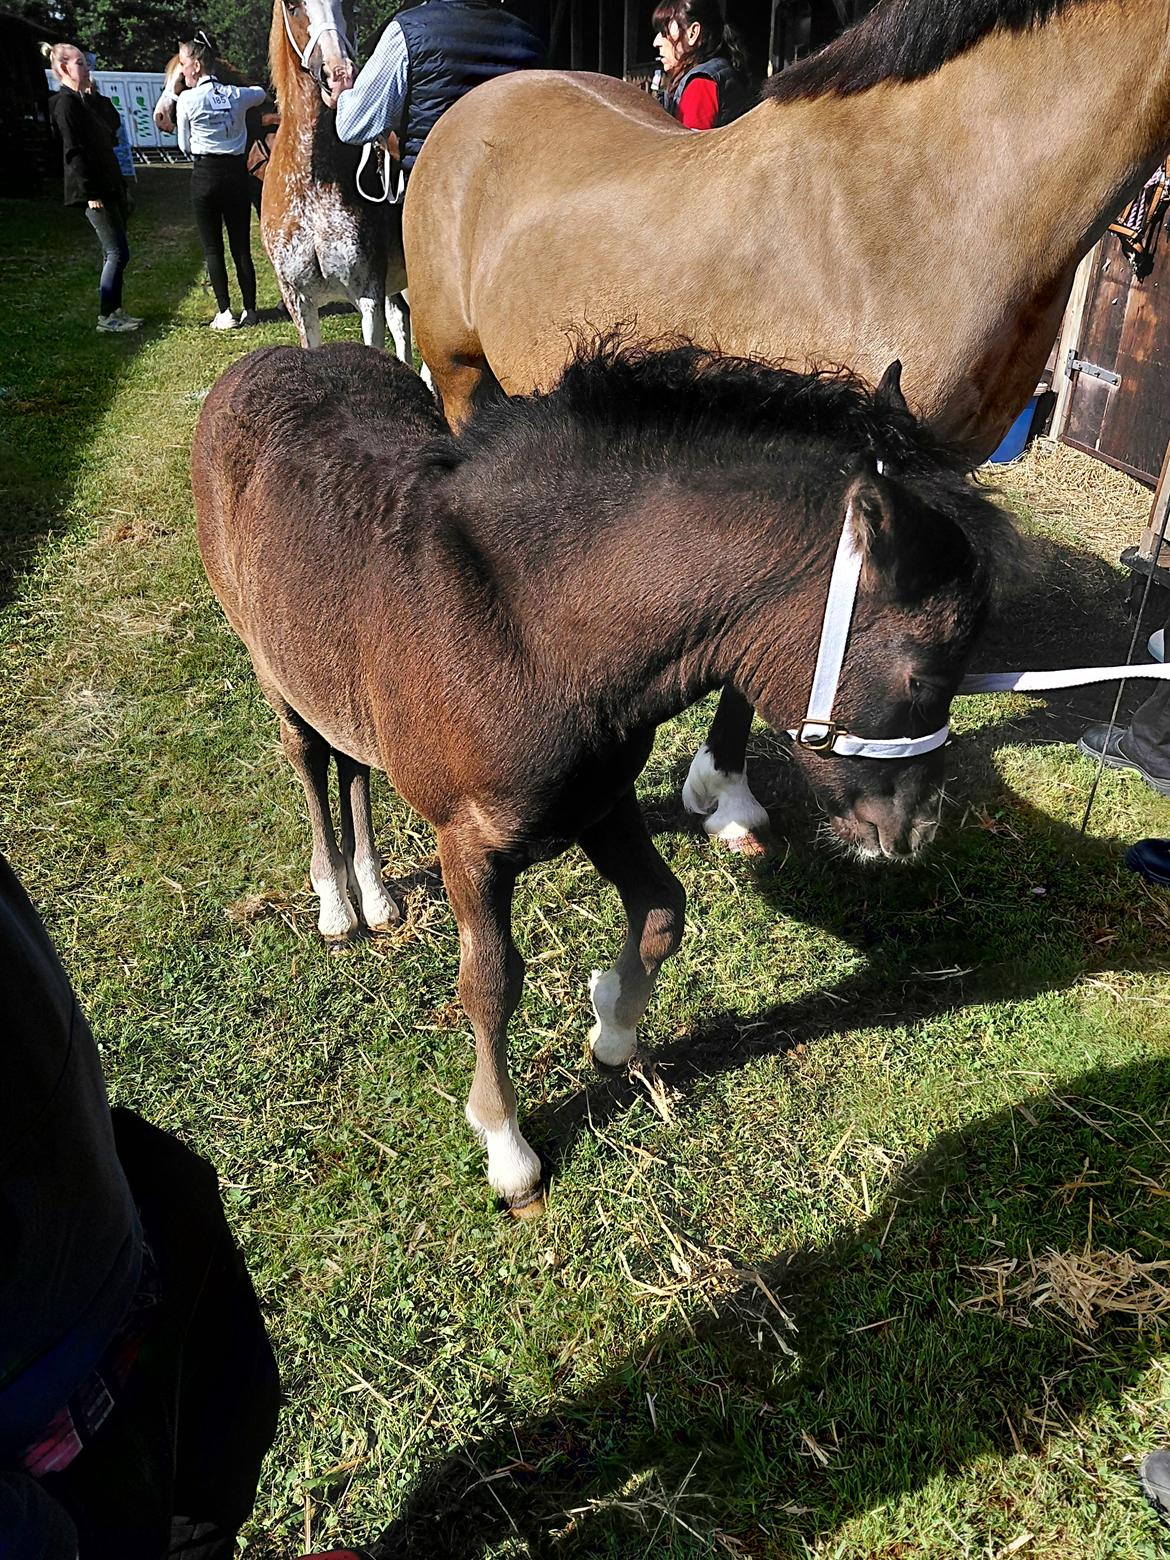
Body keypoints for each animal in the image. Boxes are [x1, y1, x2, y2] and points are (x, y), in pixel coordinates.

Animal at [193, 337, 1018, 1213]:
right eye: (923, 674)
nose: (914, 827)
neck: (532, 631)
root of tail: (262, 358)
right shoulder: (469, 844)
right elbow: (491, 983)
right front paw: (508, 1148)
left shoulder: (600, 801)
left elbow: (662, 910)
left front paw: (611, 1027)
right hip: (271, 667)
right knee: (311, 758)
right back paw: (336, 902)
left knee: (352, 757)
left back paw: (377, 893)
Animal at [262, 0, 409, 354]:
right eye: (292, 6)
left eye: (350, 3)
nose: (338, 75)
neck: (314, 184)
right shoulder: (299, 302)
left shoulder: (368, 295)